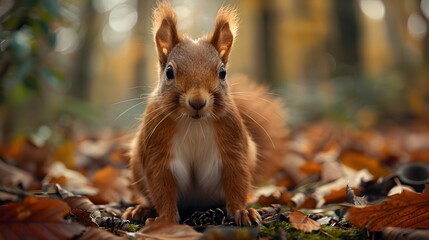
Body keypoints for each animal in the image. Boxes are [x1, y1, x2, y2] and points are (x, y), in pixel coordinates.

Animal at [125, 1, 290, 227]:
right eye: (169, 72)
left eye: (222, 72)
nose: (197, 102)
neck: (194, 123)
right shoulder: (157, 145)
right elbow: (162, 186)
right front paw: (165, 219)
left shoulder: (232, 142)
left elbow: (236, 178)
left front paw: (241, 212)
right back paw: (141, 210)